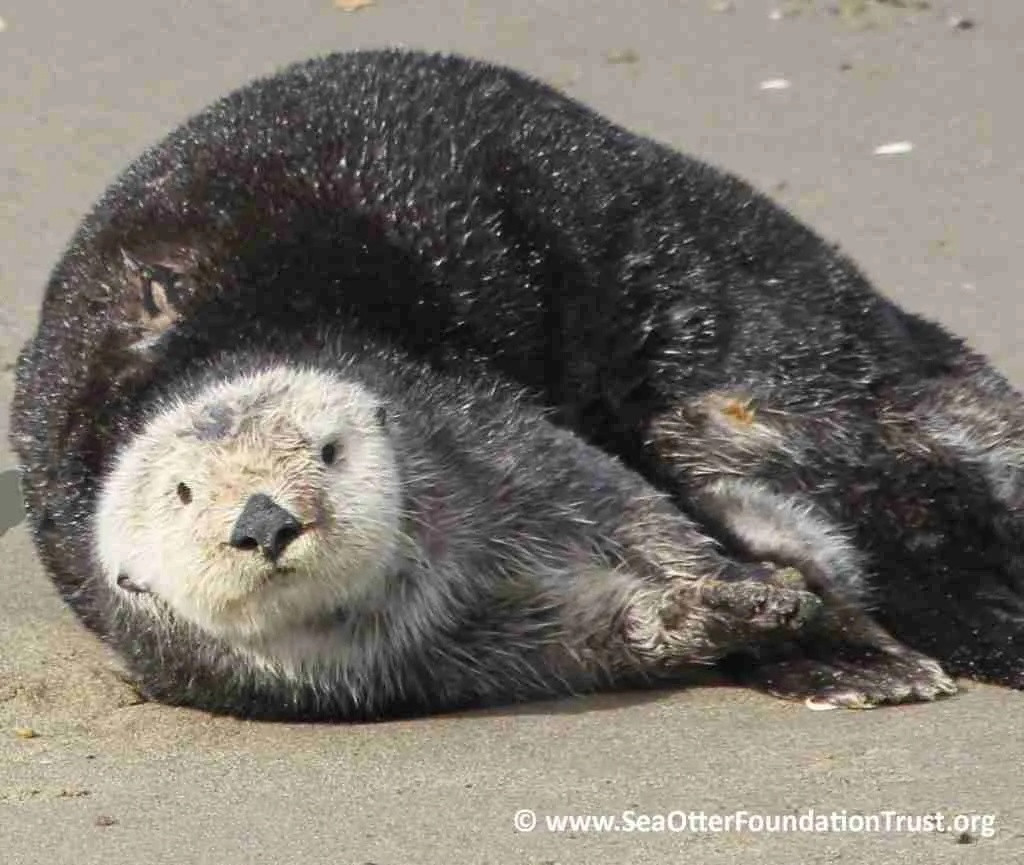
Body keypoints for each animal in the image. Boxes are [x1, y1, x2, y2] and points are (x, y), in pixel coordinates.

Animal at [9, 49, 1019, 713]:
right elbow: (610, 632)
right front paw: (725, 617)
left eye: (327, 451)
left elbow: (637, 511)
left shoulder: (496, 437)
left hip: (731, 288)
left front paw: (784, 611)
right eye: (184, 492)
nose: (264, 520)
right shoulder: (444, 656)